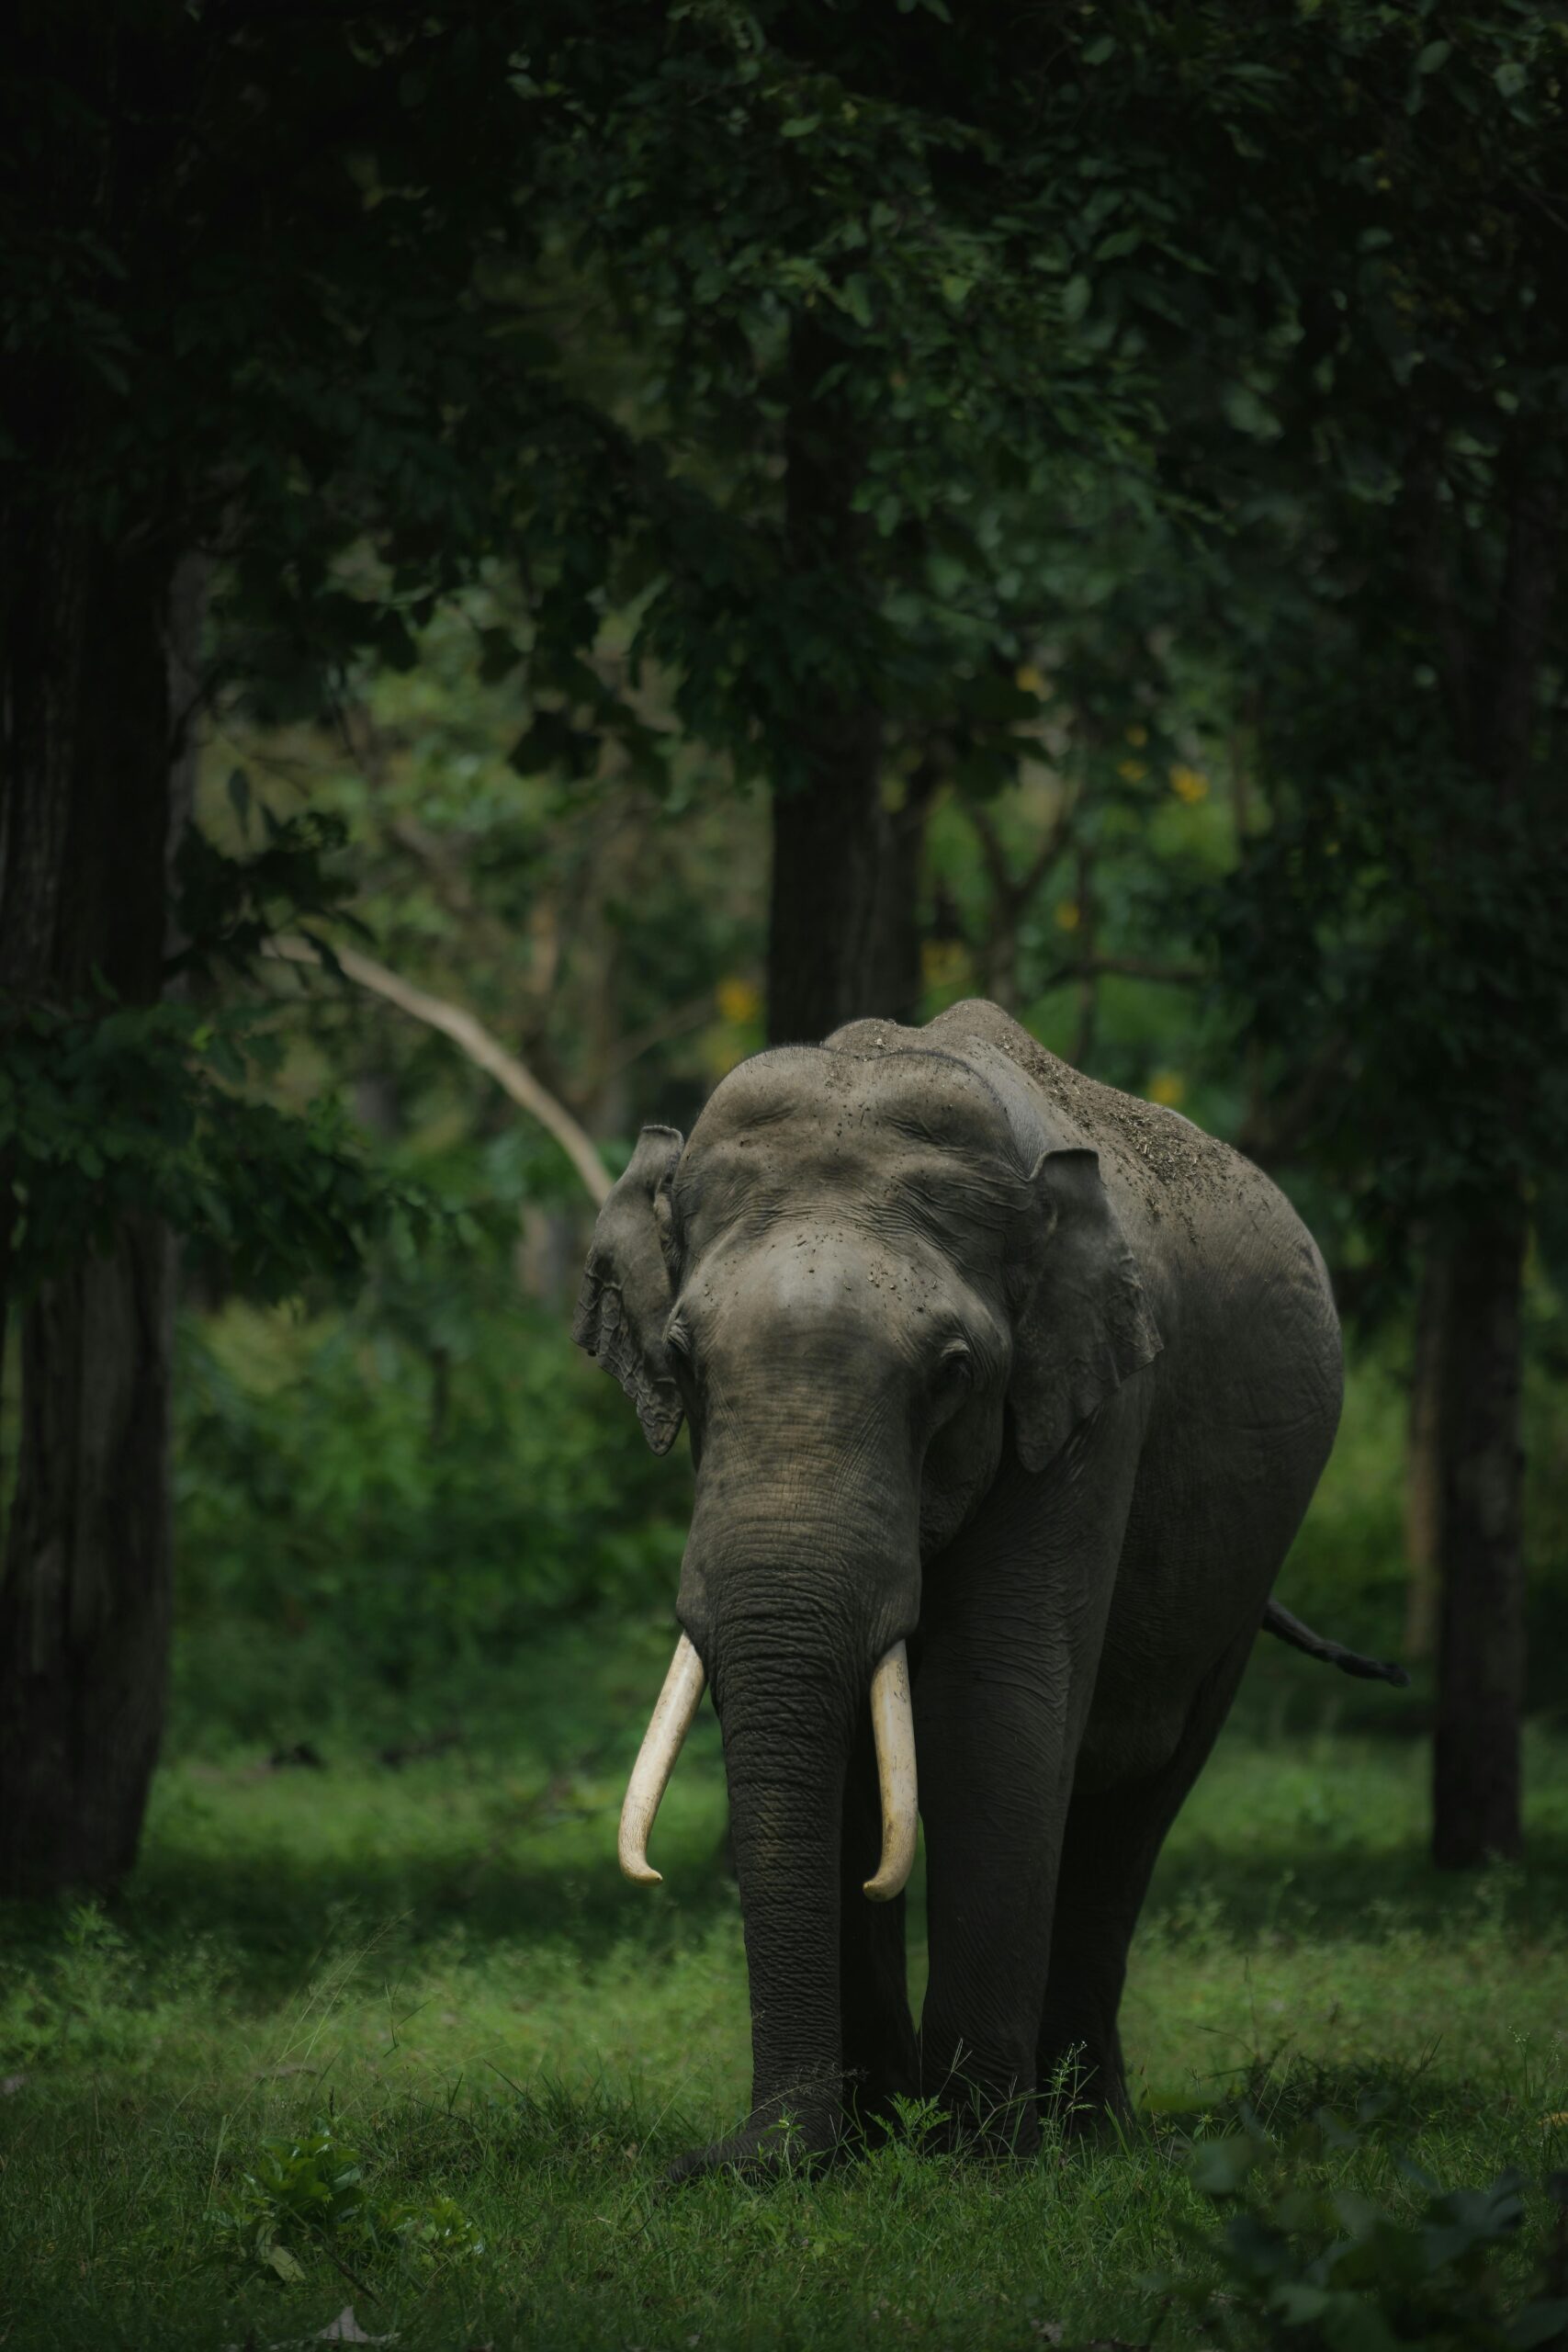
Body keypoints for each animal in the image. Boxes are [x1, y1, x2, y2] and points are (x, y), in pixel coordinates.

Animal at [570, 997, 1401, 2182]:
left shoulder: (1089, 1410)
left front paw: (974, 2157)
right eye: (680, 1361)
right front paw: (859, 2140)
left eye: (954, 1373)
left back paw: (1086, 2133)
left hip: (1249, 1561)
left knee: (1139, 1803)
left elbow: (993, 1708)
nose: (720, 2161)